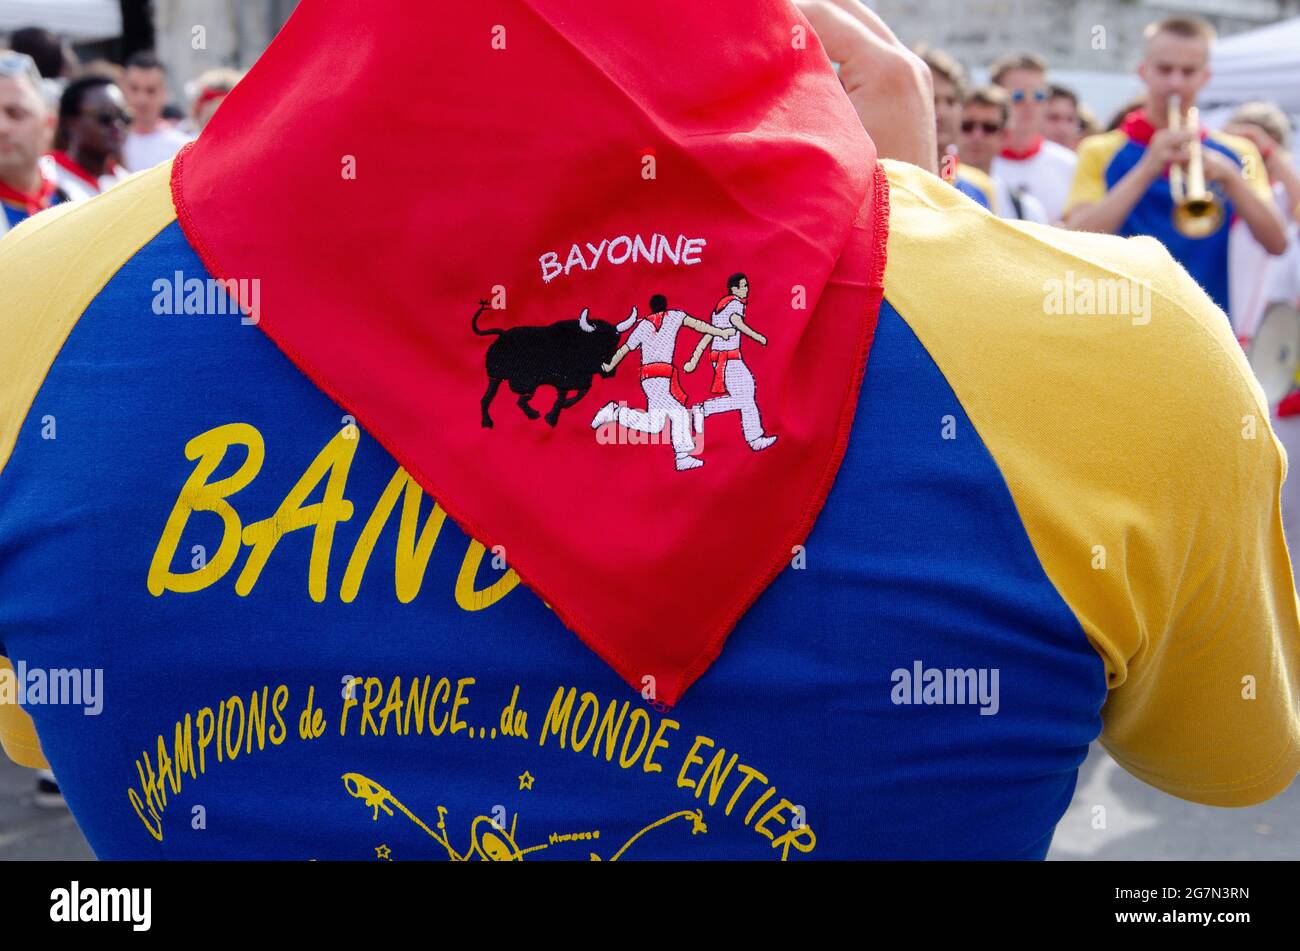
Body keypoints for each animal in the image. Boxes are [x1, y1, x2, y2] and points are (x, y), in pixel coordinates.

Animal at [478, 301, 639, 426]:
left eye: (615, 344)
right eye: (596, 345)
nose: (610, 372)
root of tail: (501, 335)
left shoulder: (581, 380)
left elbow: (581, 393)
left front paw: (564, 406)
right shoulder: (563, 382)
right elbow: (562, 399)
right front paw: (552, 418)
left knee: (519, 400)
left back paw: (532, 414)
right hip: (497, 378)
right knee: (487, 399)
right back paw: (487, 422)